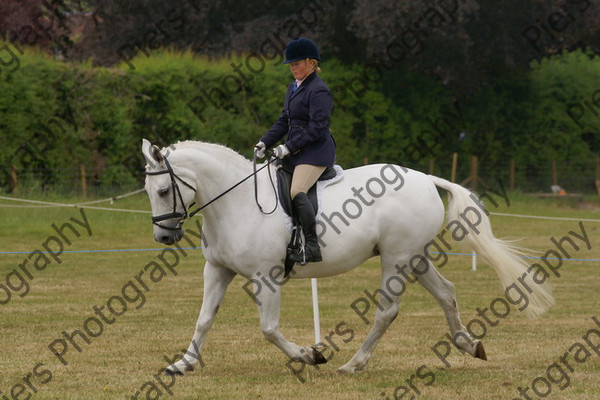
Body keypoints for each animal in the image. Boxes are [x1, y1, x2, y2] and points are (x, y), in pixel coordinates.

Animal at [141, 138, 552, 376]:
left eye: (163, 190)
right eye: (147, 189)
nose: (163, 236)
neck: (236, 202)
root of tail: (427, 179)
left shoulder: (265, 277)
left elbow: (269, 329)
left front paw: (311, 355)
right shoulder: (218, 269)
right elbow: (204, 319)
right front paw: (183, 364)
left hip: (396, 258)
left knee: (387, 310)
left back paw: (353, 364)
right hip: (415, 257)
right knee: (446, 292)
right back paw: (469, 344)